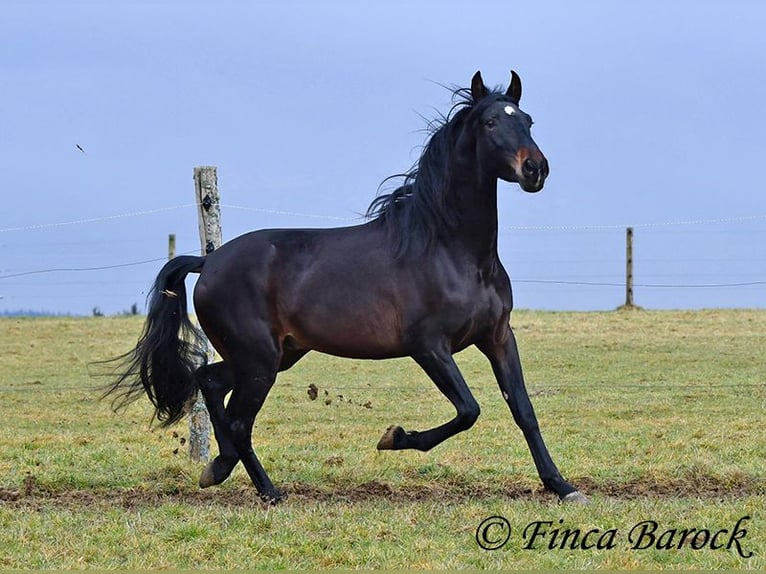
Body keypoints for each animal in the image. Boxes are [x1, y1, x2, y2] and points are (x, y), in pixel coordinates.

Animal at [105, 71, 592, 504]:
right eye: (491, 123)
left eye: (527, 120)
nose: (536, 168)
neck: (453, 251)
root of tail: (209, 261)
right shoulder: (428, 345)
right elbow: (469, 410)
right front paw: (393, 437)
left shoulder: (497, 337)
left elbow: (523, 410)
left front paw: (563, 487)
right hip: (259, 360)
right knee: (239, 419)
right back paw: (268, 492)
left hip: (273, 355)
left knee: (209, 383)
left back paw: (217, 468)